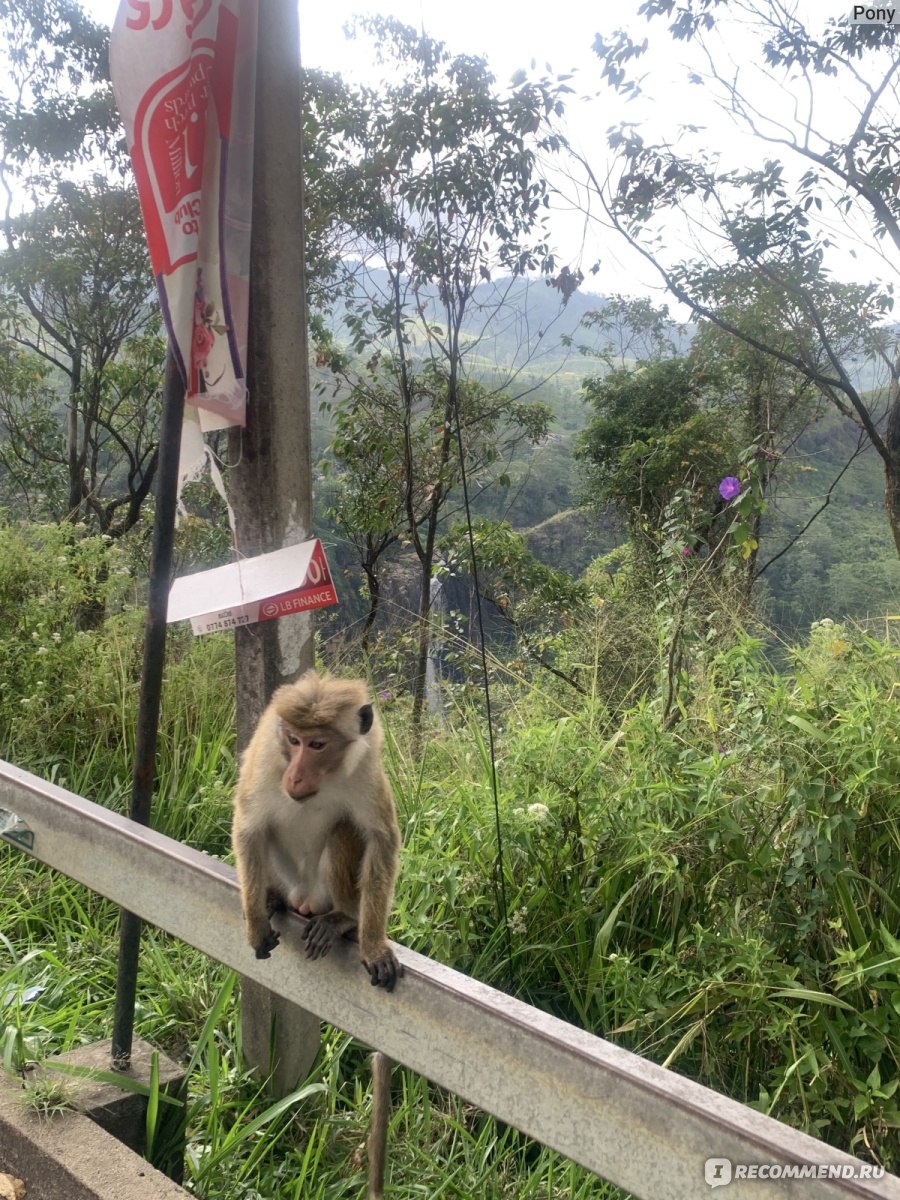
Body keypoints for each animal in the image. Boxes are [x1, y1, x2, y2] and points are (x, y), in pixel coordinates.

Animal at [232, 672, 400, 988]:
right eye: (294, 740)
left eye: (318, 745)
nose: (295, 777)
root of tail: (304, 901)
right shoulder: (266, 756)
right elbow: (250, 829)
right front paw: (256, 924)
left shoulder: (365, 763)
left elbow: (380, 838)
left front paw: (373, 945)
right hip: (286, 881)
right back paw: (271, 897)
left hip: (324, 895)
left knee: (344, 830)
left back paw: (343, 917)